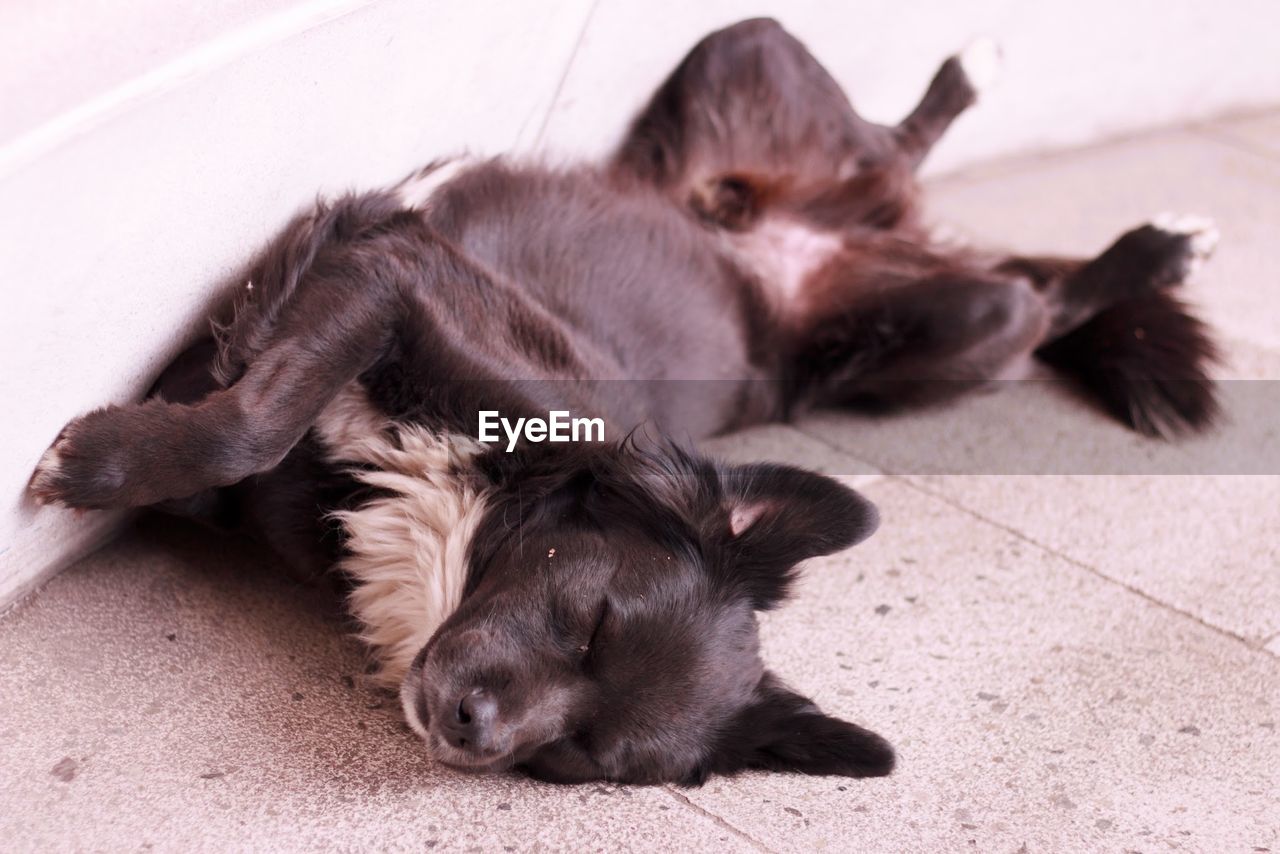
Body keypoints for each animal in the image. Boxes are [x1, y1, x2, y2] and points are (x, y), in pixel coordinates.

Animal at [27, 16, 1218, 783]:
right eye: (593, 622)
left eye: (576, 755)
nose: (468, 726)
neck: (455, 514)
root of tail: (815, 256)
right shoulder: (396, 274)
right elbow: (247, 424)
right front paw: (102, 459)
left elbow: (243, 427)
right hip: (746, 56)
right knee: (910, 166)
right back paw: (1022, 110)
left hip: (950, 338)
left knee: (1030, 289)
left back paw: (1157, 240)